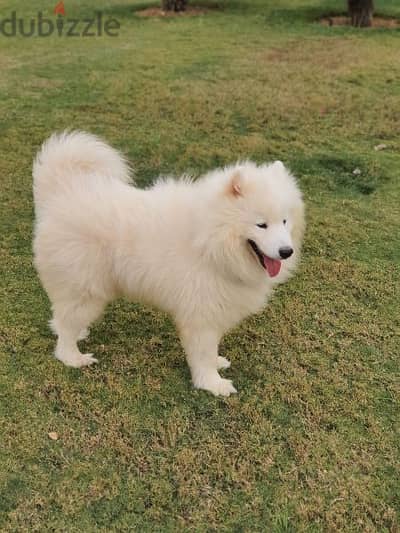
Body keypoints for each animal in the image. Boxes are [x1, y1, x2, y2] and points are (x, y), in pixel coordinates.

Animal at [32, 131, 304, 396]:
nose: (286, 251)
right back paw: (74, 358)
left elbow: (212, 349)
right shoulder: (201, 313)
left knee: (61, 318)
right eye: (261, 225)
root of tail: (62, 192)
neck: (209, 240)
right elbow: (203, 354)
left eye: (284, 221)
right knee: (65, 330)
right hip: (86, 290)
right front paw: (212, 384)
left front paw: (217, 364)